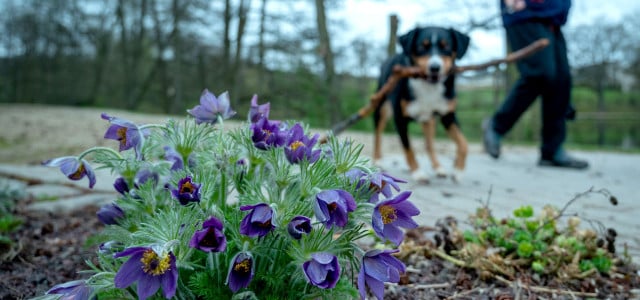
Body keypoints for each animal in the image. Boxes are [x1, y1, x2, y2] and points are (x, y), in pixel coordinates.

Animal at [372, 27, 472, 183]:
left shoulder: (448, 115)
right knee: (378, 133)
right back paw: (377, 160)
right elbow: (409, 148)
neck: (428, 86)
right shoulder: (400, 119)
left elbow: (463, 143)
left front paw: (458, 170)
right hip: (381, 107)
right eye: (421, 47)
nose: (435, 67)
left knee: (429, 144)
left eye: (446, 46)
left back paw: (438, 167)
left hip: (429, 120)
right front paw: (418, 172)